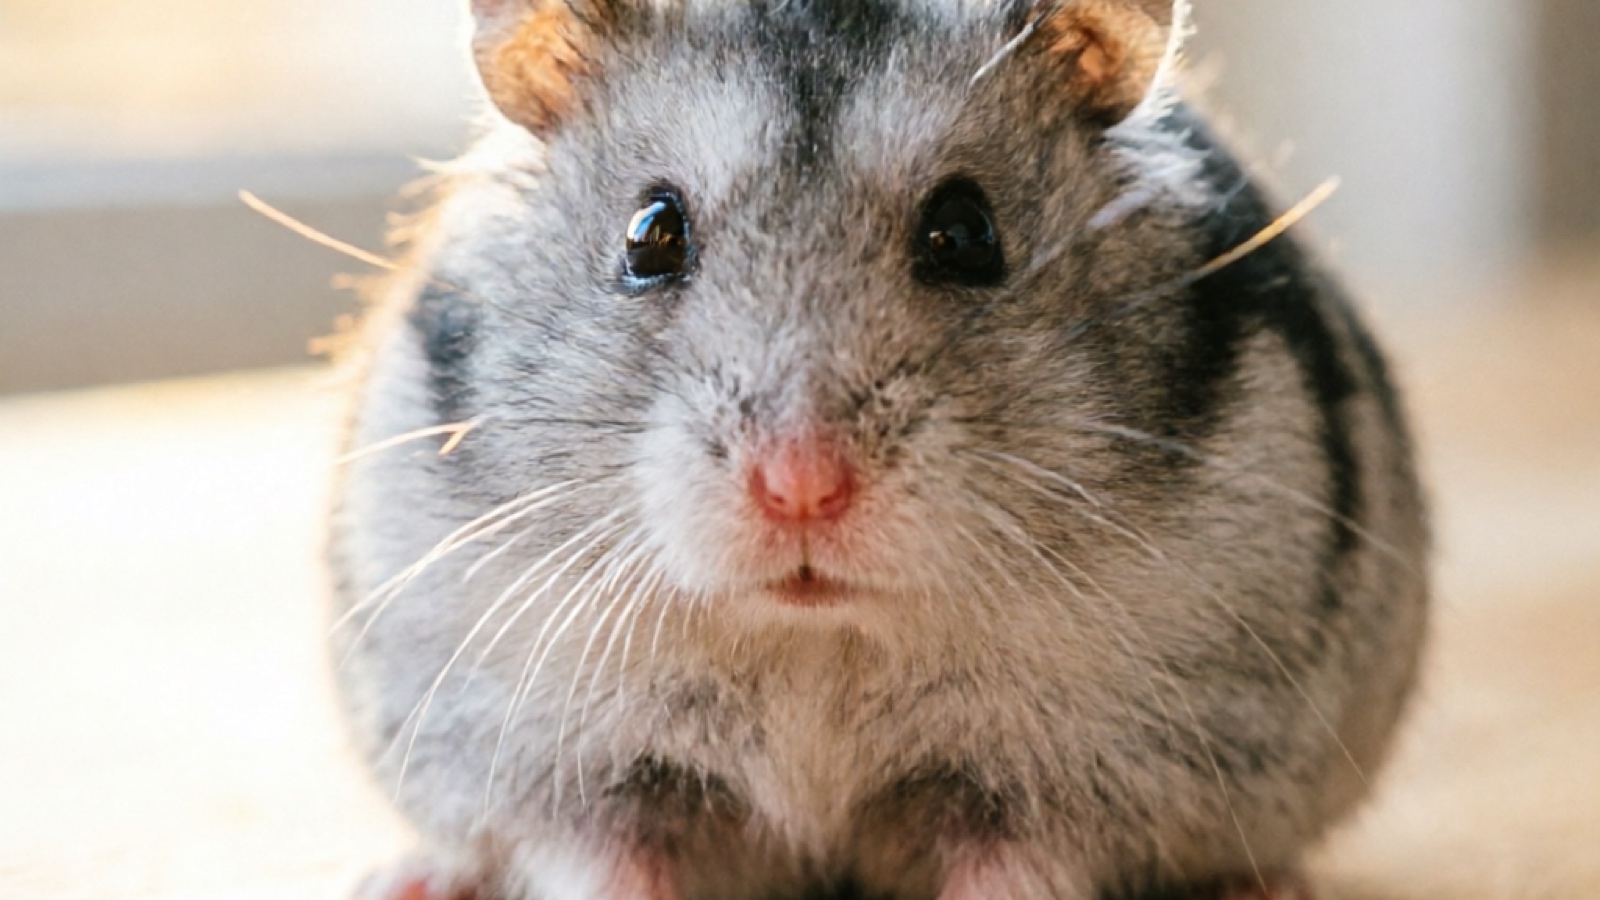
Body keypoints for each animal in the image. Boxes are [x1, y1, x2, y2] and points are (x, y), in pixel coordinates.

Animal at [328, 1, 1428, 899]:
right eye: (650, 233)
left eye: (967, 233)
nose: (801, 489)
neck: (816, 643)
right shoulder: (582, 779)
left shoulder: (1058, 785)